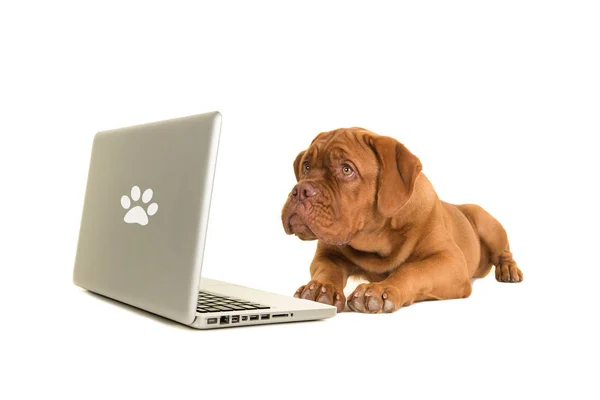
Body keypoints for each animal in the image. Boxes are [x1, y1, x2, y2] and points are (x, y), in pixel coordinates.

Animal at [282, 128, 520, 312]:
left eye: (347, 169)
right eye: (306, 166)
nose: (301, 190)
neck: (379, 240)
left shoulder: (449, 260)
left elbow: (411, 270)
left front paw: (381, 289)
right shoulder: (327, 254)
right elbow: (327, 269)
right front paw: (319, 288)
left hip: (485, 222)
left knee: (504, 252)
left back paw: (509, 270)